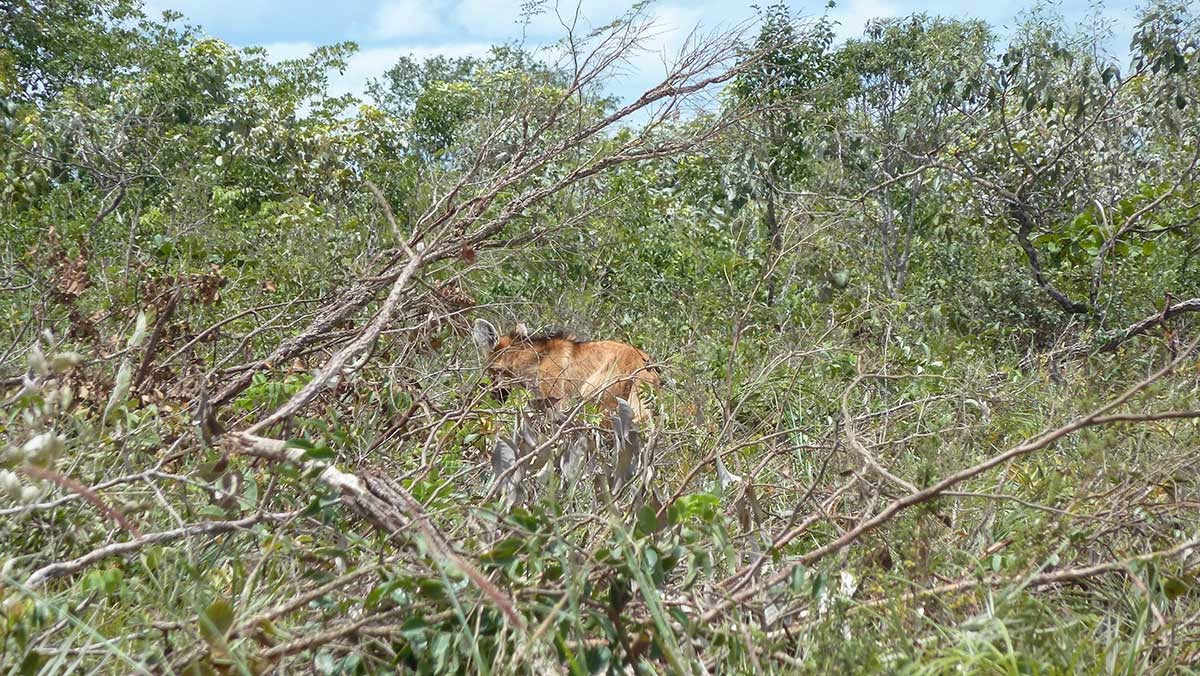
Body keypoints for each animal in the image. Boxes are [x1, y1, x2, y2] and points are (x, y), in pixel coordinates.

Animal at [470, 319, 662, 422]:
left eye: (490, 374)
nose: (495, 398)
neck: (536, 360)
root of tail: (641, 360)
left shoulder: (555, 395)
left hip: (596, 392)